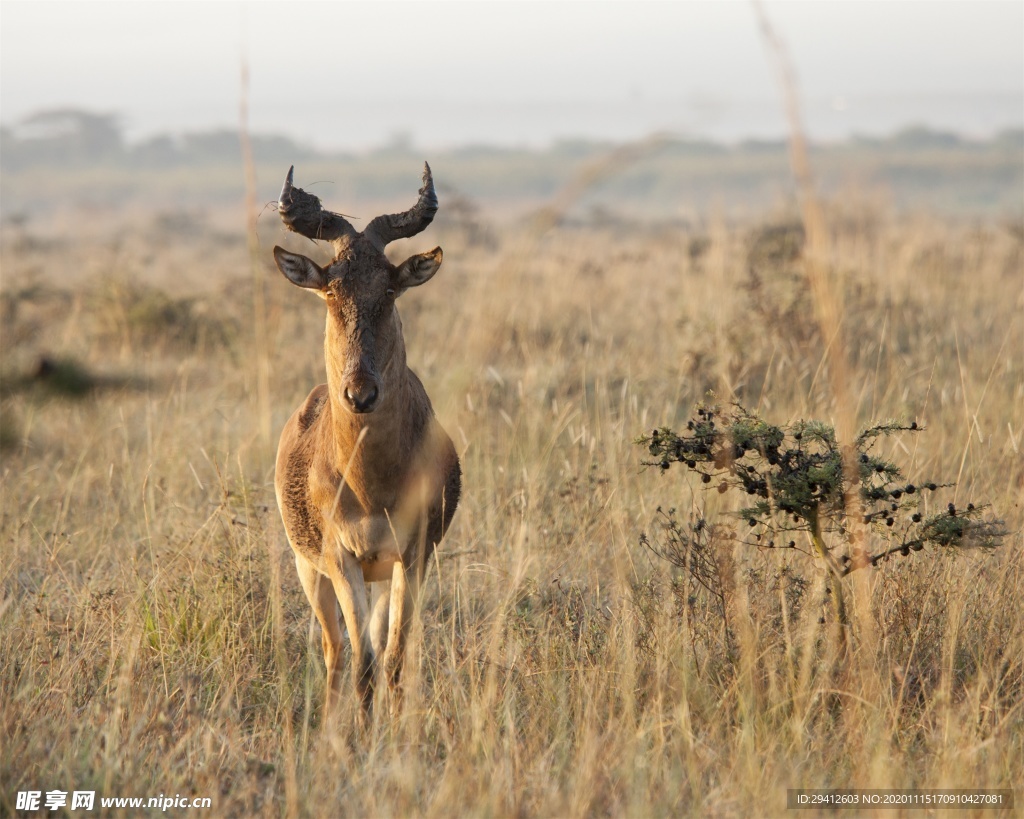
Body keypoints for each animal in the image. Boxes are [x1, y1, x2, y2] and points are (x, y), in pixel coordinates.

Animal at [274, 164, 462, 716]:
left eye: (391, 289)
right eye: (330, 290)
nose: (361, 394)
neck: (371, 480)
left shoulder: (415, 555)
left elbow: (394, 660)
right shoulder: (342, 560)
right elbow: (363, 666)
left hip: (382, 574)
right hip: (309, 568)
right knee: (335, 650)